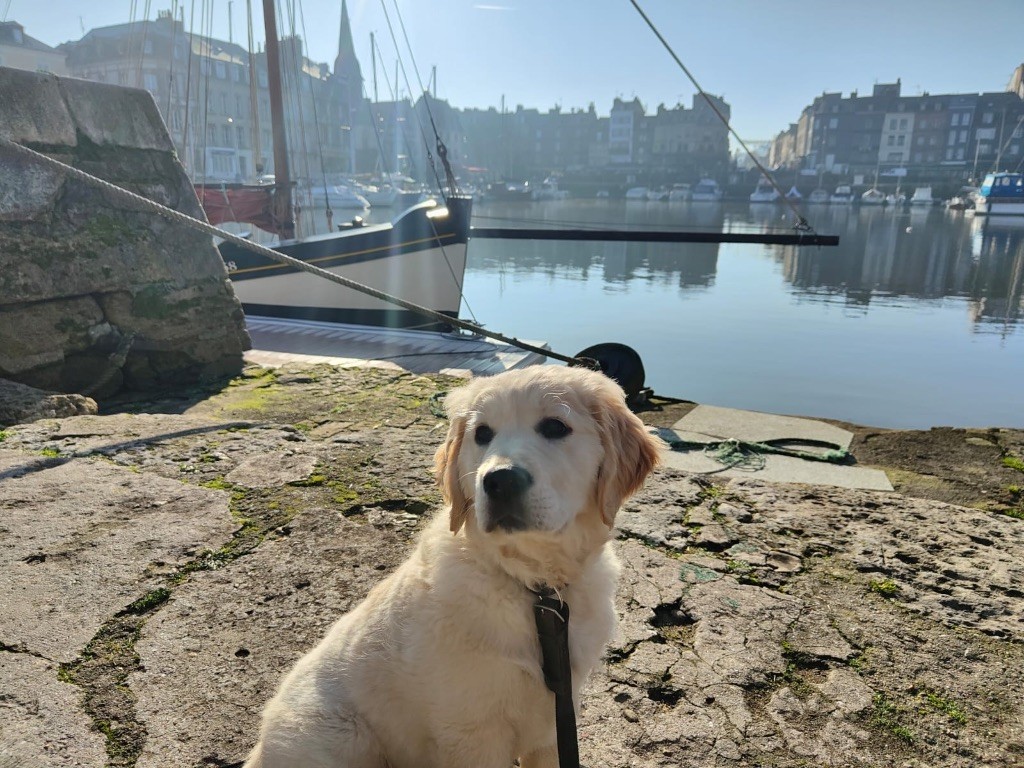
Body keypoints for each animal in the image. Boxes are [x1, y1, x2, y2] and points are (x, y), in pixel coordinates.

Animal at [245, 366, 663, 768]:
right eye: (482, 434)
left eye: (555, 427)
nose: (499, 481)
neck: (535, 586)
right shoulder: (471, 733)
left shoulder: (555, 721)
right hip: (341, 738)